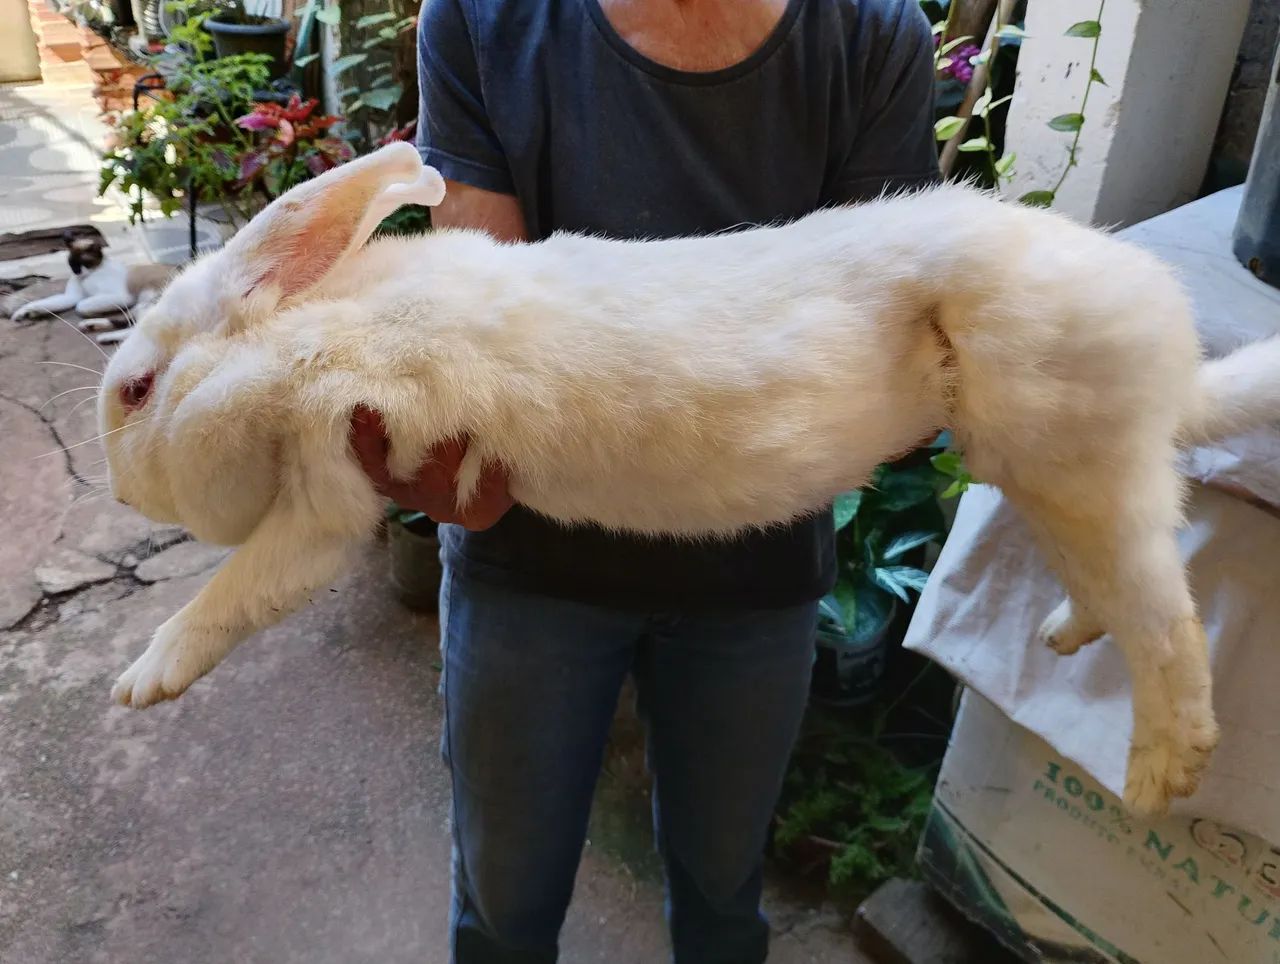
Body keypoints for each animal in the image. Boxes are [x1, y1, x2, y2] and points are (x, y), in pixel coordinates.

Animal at [97, 141, 1280, 816]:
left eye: (137, 390)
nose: (120, 494)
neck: (313, 322)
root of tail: (1169, 335)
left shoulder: (326, 482)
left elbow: (239, 589)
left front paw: (140, 680)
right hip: (1050, 467)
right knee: (1118, 583)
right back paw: (1071, 636)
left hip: (1071, 454)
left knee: (1166, 617)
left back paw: (1158, 776)